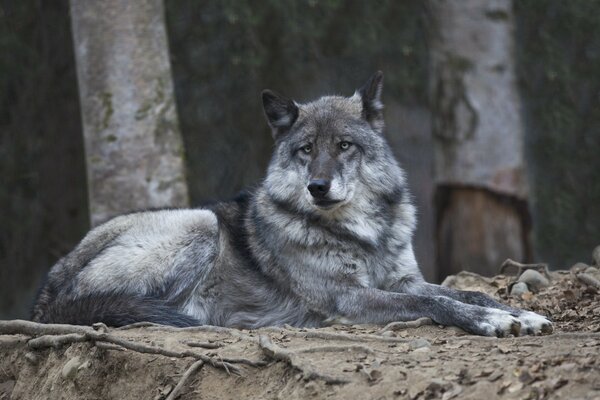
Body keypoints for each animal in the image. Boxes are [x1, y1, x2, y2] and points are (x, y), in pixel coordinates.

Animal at [30, 72, 552, 338]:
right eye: (305, 149)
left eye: (344, 146)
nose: (318, 187)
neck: (363, 234)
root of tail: (44, 297)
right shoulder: (350, 297)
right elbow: (438, 303)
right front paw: (491, 321)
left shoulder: (404, 279)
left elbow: (462, 292)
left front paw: (517, 313)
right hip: (198, 222)